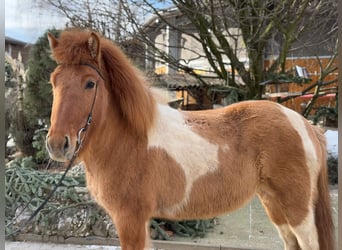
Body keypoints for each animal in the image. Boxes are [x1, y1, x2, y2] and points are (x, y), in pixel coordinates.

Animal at [45, 29, 334, 250]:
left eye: (90, 83)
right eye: (54, 82)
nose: (57, 144)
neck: (129, 140)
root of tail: (304, 124)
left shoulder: (130, 218)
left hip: (298, 210)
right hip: (274, 203)